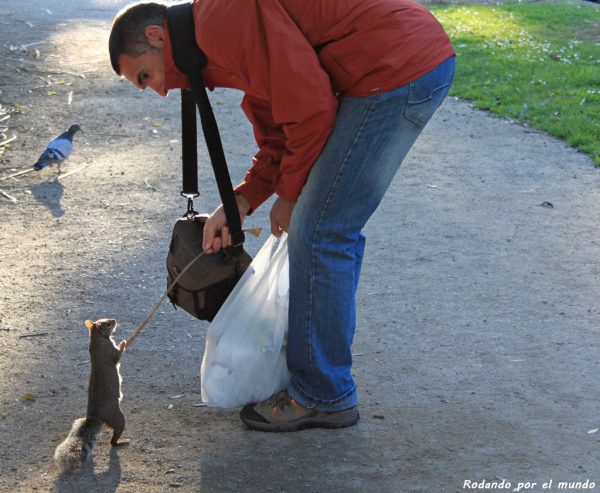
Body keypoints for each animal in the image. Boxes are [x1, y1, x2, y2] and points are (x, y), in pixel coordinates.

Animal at [54, 318, 129, 470]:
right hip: (117, 417)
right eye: (107, 324)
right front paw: (123, 342)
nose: (114, 320)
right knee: (114, 439)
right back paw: (121, 442)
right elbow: (117, 355)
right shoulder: (109, 352)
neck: (97, 339)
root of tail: (94, 416)